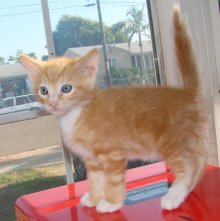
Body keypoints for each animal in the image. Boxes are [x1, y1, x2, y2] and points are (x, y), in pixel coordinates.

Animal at [19, 4, 205, 212]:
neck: (76, 113)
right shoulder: (92, 159)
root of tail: (185, 92)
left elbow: (113, 180)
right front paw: (94, 197)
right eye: (43, 90)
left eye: (66, 88)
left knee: (187, 166)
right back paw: (188, 190)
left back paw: (174, 196)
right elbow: (95, 179)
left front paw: (111, 202)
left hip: (170, 142)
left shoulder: (114, 153)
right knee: (199, 160)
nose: (52, 103)